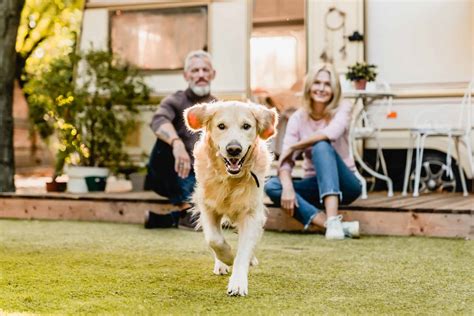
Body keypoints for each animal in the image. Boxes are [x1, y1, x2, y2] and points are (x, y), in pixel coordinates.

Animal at [184, 100, 278, 296]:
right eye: (221, 126)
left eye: (246, 126)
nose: (234, 149)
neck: (231, 180)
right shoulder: (208, 207)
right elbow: (215, 239)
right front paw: (227, 257)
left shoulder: (251, 213)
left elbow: (243, 251)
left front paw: (238, 282)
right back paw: (221, 264)